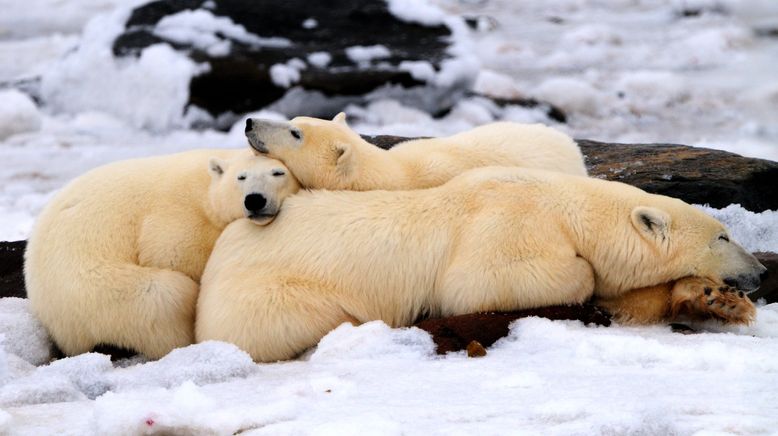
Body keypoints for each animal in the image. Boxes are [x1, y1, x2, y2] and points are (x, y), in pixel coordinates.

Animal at [25, 148, 298, 360]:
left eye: (278, 173)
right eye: (241, 177)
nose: (255, 200)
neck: (204, 187)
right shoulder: (178, 212)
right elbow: (171, 254)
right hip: (101, 293)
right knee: (165, 298)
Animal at [197, 167, 768, 362]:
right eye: (722, 234)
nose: (760, 273)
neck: (570, 209)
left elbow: (632, 301)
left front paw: (716, 301)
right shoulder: (505, 223)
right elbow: (483, 282)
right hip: (271, 296)